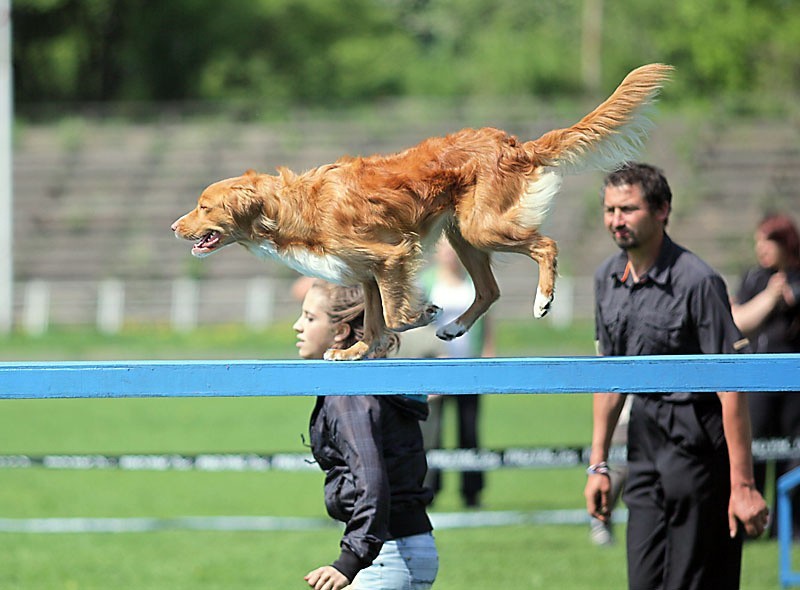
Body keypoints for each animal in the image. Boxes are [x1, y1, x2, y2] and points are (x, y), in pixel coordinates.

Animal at [172, 63, 672, 360]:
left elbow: (395, 315)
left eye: (202, 206)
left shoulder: (391, 255)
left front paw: (423, 313)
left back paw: (542, 300)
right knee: (489, 290)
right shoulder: (366, 270)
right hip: (461, 235)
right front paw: (358, 352)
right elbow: (374, 321)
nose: (174, 226)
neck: (291, 207)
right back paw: (454, 330)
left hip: (482, 227)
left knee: (545, 245)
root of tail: (514, 144)